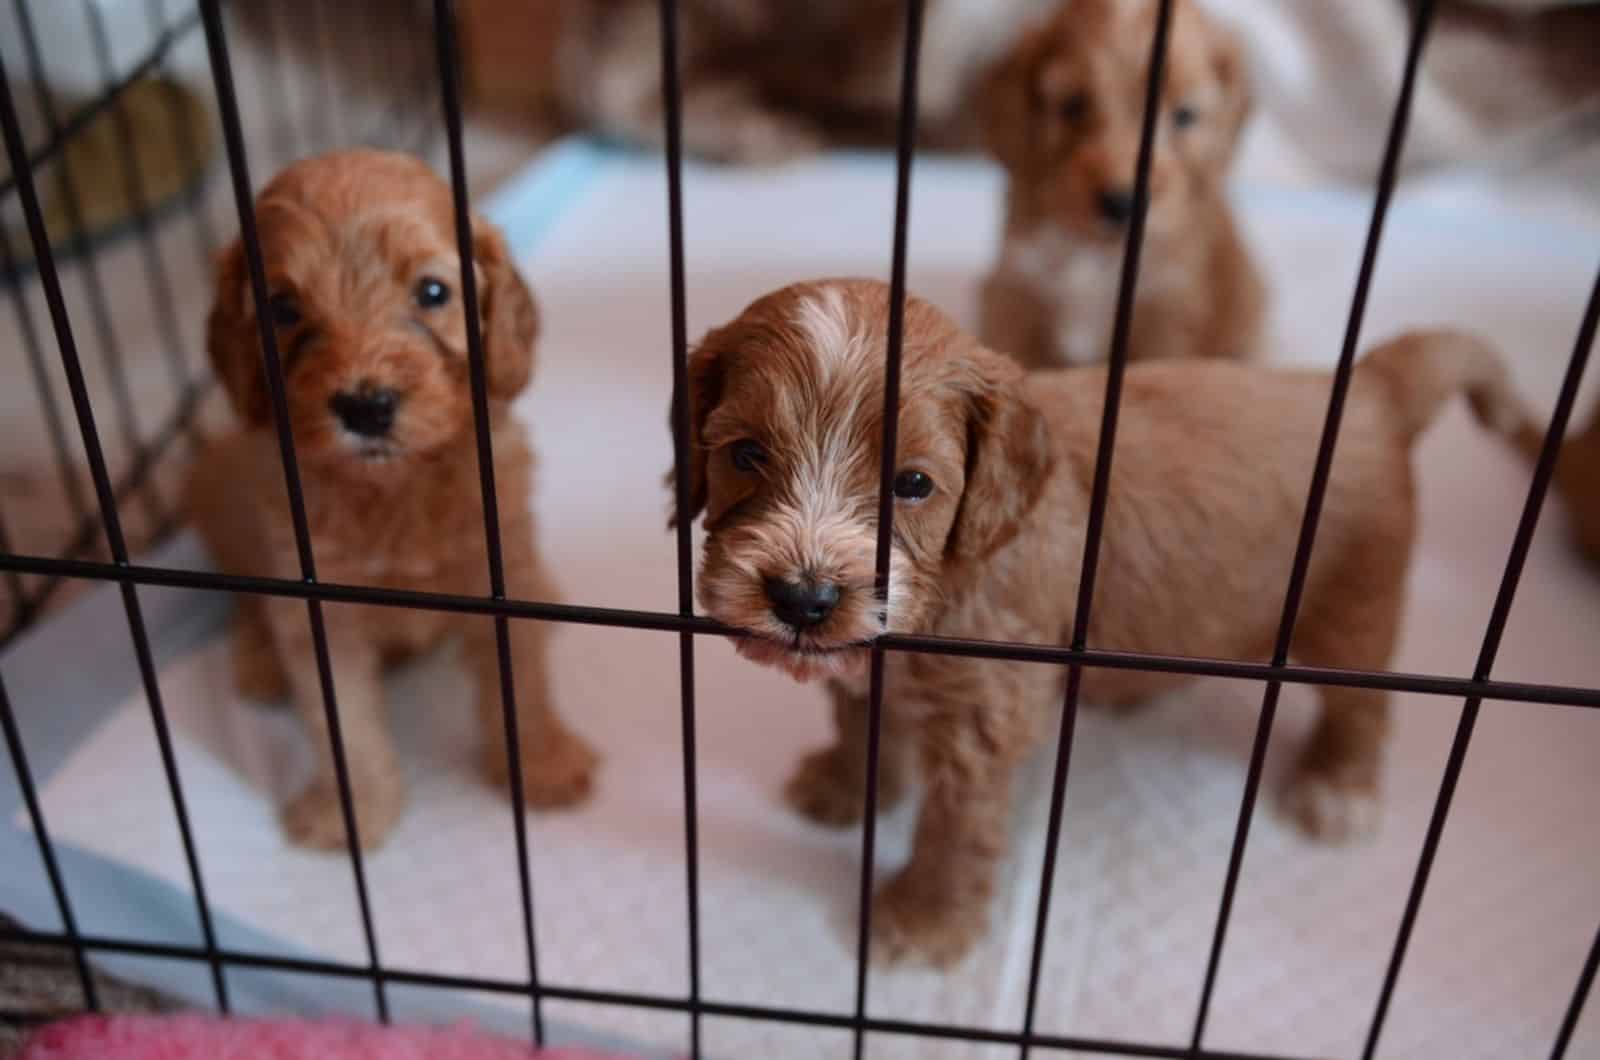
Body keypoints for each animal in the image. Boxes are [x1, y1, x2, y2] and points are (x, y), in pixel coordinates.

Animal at [187, 149, 598, 851]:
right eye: (282, 308)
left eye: (432, 292)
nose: (365, 407)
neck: (394, 488)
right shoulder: (318, 607)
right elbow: (340, 724)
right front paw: (347, 814)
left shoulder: (501, 567)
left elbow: (522, 682)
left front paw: (543, 766)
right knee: (245, 599)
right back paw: (260, 661)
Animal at [675, 278, 1523, 967]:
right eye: (745, 454)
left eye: (913, 484)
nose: (804, 600)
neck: (955, 576)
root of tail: (1372, 387)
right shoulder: (864, 663)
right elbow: (858, 722)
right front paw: (846, 789)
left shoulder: (986, 717)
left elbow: (955, 829)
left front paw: (922, 922)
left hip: (1353, 609)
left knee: (1363, 704)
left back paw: (1337, 788)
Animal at [972, 0, 1260, 371]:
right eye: (1072, 105)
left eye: (1184, 115)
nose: (1122, 203)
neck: (1099, 252)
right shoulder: (1015, 292)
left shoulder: (1167, 315)